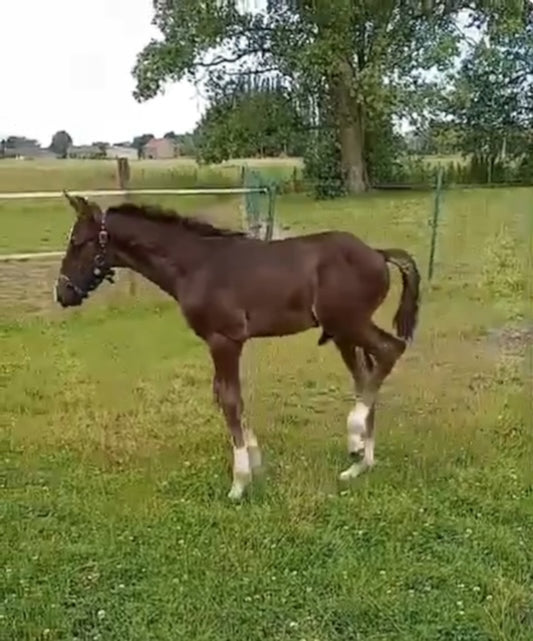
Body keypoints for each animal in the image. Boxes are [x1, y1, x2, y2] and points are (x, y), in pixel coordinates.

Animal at [55, 192, 420, 498]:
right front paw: (255, 462)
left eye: (77, 242)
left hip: (348, 324)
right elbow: (227, 396)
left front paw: (239, 482)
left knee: (390, 350)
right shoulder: (222, 343)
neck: (196, 265)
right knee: (365, 373)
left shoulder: (225, 340)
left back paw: (355, 436)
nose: (62, 293)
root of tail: (378, 253)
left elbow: (229, 400)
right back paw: (360, 461)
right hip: (342, 333)